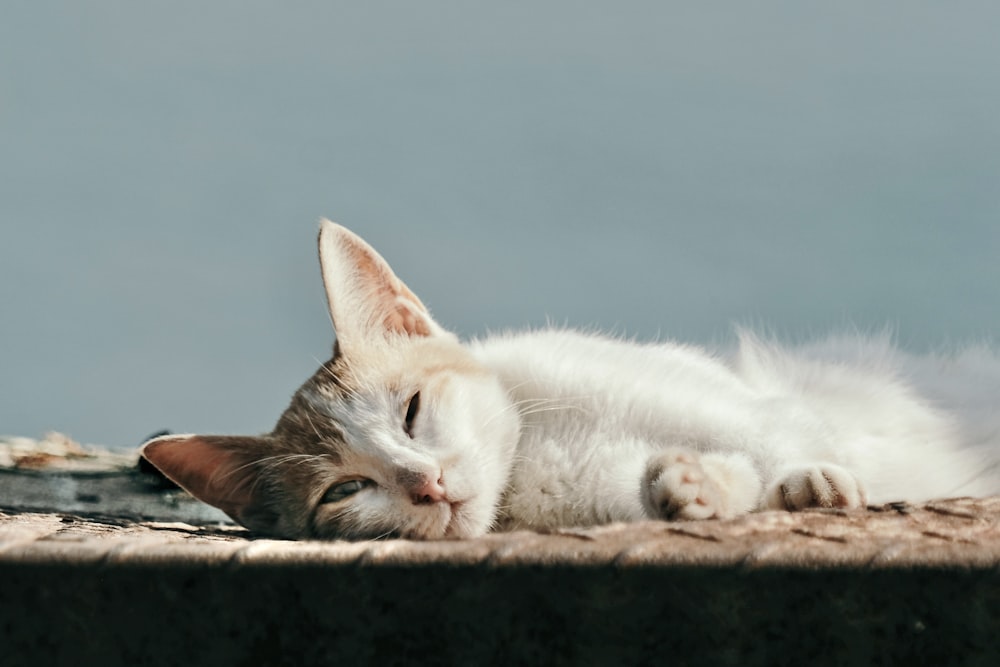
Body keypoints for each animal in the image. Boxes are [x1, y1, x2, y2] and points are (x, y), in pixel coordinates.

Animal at [141, 222, 1000, 540]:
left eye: (412, 409)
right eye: (345, 490)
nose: (427, 482)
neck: (533, 455)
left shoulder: (732, 401)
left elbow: (773, 430)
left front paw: (808, 479)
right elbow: (708, 476)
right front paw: (694, 487)